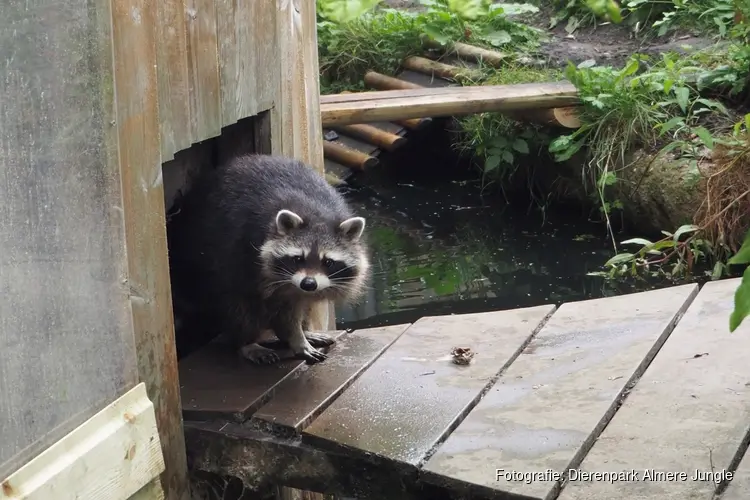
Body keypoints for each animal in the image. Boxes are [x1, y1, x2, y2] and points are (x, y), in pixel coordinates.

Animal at [169, 152, 372, 364]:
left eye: (328, 262)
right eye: (298, 259)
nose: (309, 284)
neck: (316, 214)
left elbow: (298, 302)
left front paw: (299, 333)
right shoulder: (250, 252)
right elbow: (282, 309)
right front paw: (296, 337)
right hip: (207, 266)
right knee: (237, 304)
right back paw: (246, 341)